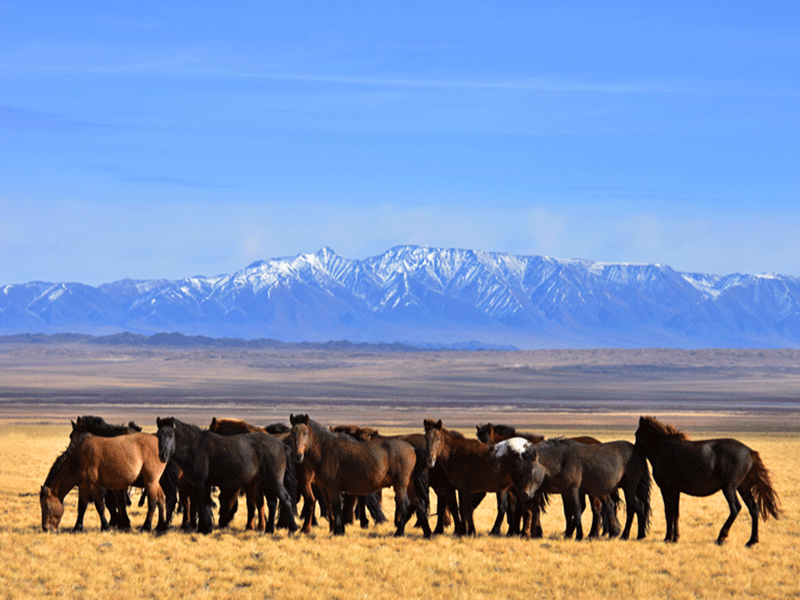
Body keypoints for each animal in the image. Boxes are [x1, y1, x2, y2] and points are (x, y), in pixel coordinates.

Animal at [40, 432, 169, 536]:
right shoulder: (83, 488)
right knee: (161, 499)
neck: (79, 458)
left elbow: (100, 506)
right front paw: (77, 528)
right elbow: (81, 507)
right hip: (155, 483)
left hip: (150, 482)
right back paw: (160, 526)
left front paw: (105, 527)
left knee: (152, 503)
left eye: (47, 506)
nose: (45, 528)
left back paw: (146, 527)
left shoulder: (94, 486)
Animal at [156, 418, 296, 536]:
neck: (195, 447)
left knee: (286, 499)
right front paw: (203, 528)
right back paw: (269, 530)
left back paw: (293, 528)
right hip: (266, 484)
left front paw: (206, 529)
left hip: (274, 483)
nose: (163, 455)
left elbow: (204, 505)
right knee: (272, 503)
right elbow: (201, 505)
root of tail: (281, 445)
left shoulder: (202, 484)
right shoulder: (198, 486)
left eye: (170, 435)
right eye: (158, 435)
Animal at [284, 414, 428, 536]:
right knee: (419, 503)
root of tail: (412, 449)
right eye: (292, 433)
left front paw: (338, 532)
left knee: (404, 506)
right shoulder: (327, 489)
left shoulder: (333, 488)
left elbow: (336, 508)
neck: (326, 450)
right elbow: (334, 507)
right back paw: (426, 533)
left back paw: (399, 532)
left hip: (400, 486)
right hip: (409, 485)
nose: (298, 456)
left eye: (305, 432)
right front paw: (338, 529)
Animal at [520, 434, 648, 540]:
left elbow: (576, 511)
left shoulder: (573, 490)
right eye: (521, 470)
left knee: (635, 506)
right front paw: (570, 534)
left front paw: (578, 536)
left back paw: (630, 535)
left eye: (531, 471)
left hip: (629, 488)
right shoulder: (566, 492)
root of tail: (637, 451)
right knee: (630, 507)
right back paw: (629, 535)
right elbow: (570, 512)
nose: (525, 493)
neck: (562, 460)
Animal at [632, 414, 780, 548]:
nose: (634, 452)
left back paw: (721, 537)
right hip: (743, 488)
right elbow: (675, 513)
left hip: (729, 488)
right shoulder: (675, 490)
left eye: (637, 434)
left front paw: (668, 538)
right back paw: (751, 541)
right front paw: (675, 538)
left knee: (735, 508)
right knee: (754, 508)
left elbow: (669, 513)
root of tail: (749, 452)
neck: (663, 448)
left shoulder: (667, 489)